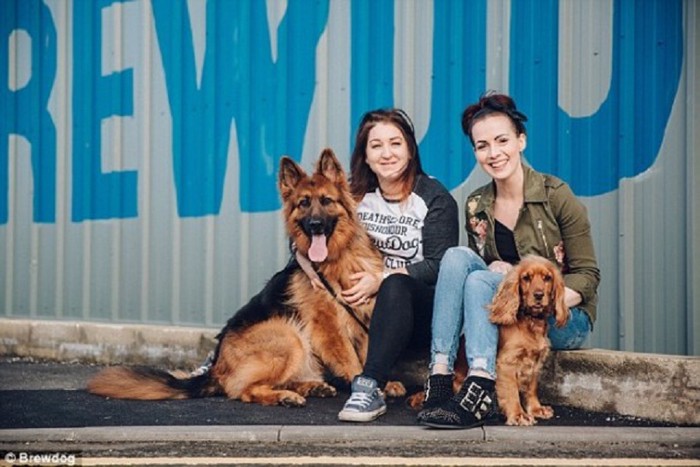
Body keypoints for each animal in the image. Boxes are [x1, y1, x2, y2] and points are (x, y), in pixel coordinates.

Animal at [87, 149, 388, 406]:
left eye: (326, 201)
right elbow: (352, 361)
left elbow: (368, 352)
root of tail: (215, 367)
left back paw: (309, 386)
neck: (339, 256)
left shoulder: (364, 314)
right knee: (243, 390)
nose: (314, 225)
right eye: (303, 204)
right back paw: (285, 396)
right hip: (288, 334)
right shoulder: (328, 327)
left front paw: (388, 383)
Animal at [486, 256, 568, 428]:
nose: (539, 295)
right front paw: (518, 415)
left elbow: (531, 388)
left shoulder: (535, 361)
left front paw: (536, 409)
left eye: (547, 278)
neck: (531, 322)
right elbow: (511, 391)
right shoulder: (507, 362)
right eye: (526, 278)